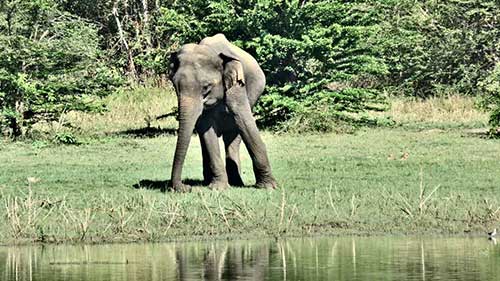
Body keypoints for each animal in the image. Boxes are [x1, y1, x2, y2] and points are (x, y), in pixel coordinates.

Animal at [168, 32, 278, 190]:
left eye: (206, 87)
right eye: (175, 86)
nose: (186, 188)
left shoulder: (237, 84)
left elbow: (244, 120)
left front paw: (268, 187)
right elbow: (206, 129)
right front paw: (217, 187)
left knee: (233, 135)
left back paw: (237, 183)